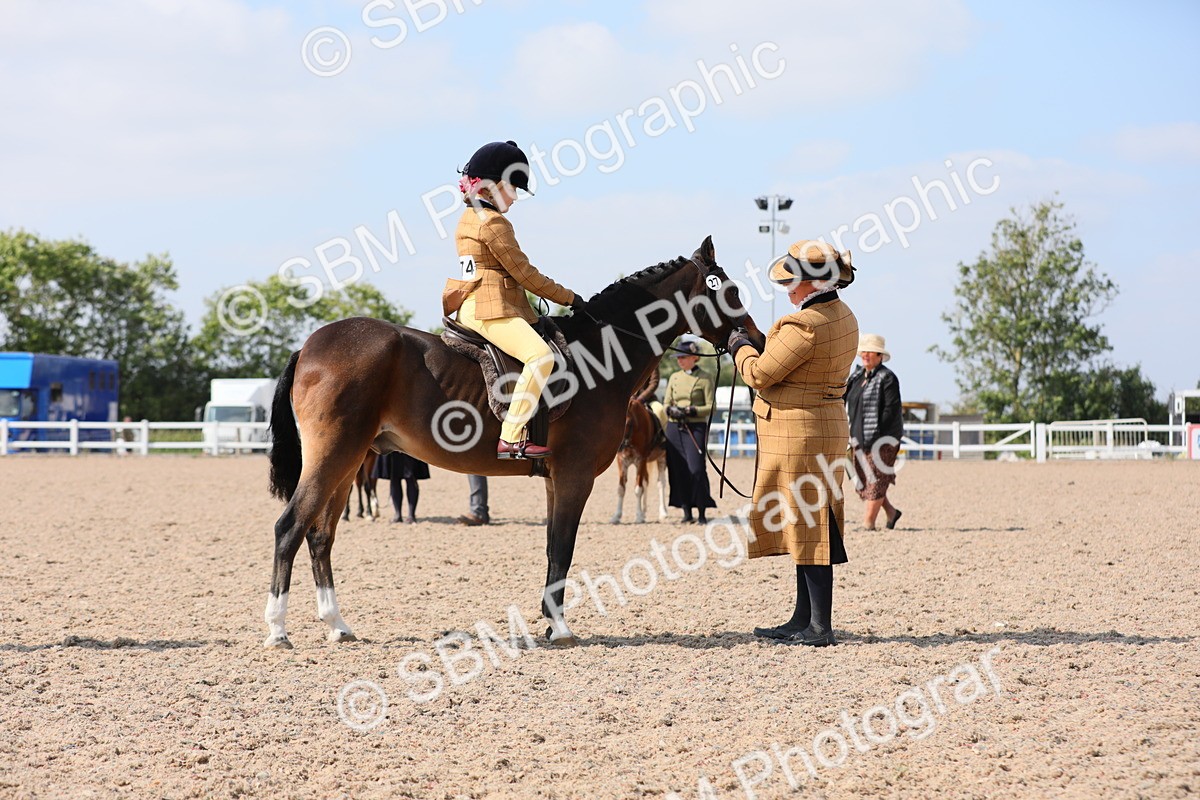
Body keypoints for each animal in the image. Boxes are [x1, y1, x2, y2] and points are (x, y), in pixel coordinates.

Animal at [263, 236, 764, 649]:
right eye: (729, 291)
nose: (756, 339)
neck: (598, 358)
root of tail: (310, 346)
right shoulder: (575, 477)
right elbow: (563, 547)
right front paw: (560, 628)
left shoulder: (556, 480)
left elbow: (552, 547)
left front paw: (548, 621)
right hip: (334, 456)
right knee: (290, 528)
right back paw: (278, 630)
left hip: (349, 463)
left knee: (320, 535)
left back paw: (337, 626)